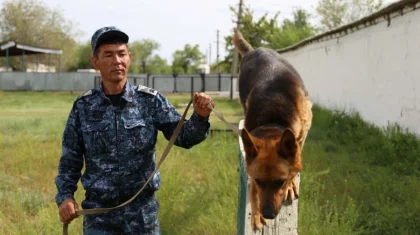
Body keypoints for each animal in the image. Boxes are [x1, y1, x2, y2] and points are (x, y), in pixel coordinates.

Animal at [233, 28, 312, 229]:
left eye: (280, 182)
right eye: (259, 181)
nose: (268, 214)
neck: (272, 121)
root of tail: (255, 49)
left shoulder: (303, 133)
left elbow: (296, 160)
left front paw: (291, 184)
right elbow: (253, 191)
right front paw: (255, 214)